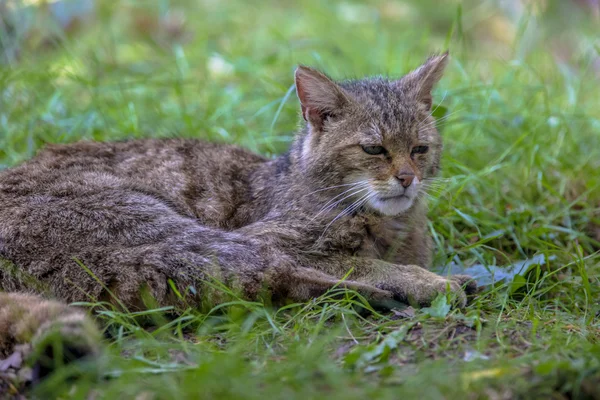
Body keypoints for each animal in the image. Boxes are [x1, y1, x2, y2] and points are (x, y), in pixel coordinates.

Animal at [0, 53, 476, 378]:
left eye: (420, 148)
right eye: (374, 149)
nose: (408, 178)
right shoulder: (269, 237)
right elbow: (358, 261)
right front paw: (422, 280)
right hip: (168, 228)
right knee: (275, 279)